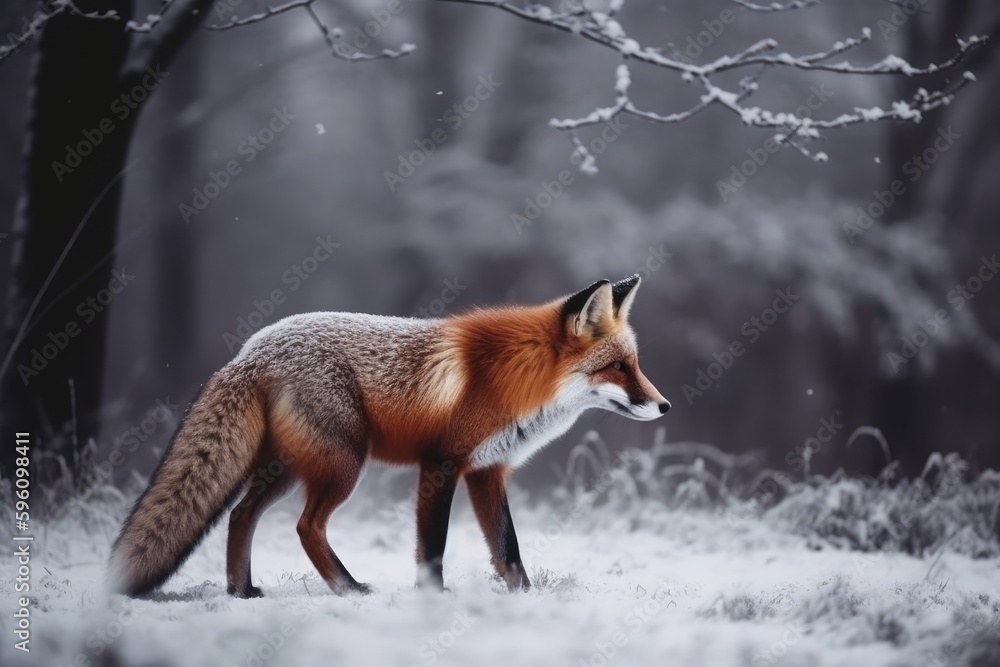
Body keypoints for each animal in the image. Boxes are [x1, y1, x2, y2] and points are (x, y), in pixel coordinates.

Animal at [109, 274, 670, 598]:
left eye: (636, 364)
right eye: (617, 367)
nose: (664, 406)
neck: (518, 380)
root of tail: (249, 351)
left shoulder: (487, 471)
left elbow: (508, 550)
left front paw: (524, 599)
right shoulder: (441, 464)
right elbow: (433, 546)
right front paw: (433, 599)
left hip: (288, 469)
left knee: (242, 516)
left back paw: (241, 592)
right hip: (341, 466)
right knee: (306, 527)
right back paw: (347, 588)